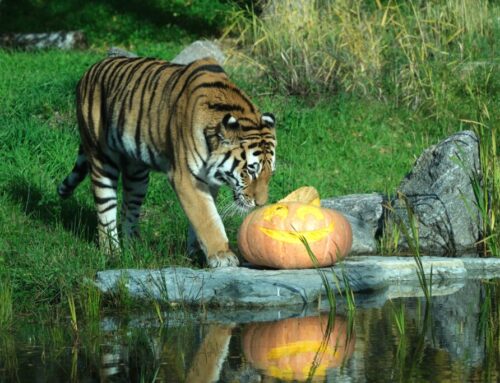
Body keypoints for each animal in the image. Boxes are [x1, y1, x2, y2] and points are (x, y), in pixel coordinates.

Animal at [59, 55, 280, 268]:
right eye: (250, 171)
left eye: (270, 173)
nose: (260, 204)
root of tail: (88, 71)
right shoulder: (186, 178)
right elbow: (207, 218)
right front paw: (222, 255)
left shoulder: (208, 180)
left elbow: (199, 219)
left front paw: (197, 254)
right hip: (101, 158)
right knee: (105, 212)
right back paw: (112, 254)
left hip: (137, 173)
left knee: (129, 208)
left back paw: (134, 248)